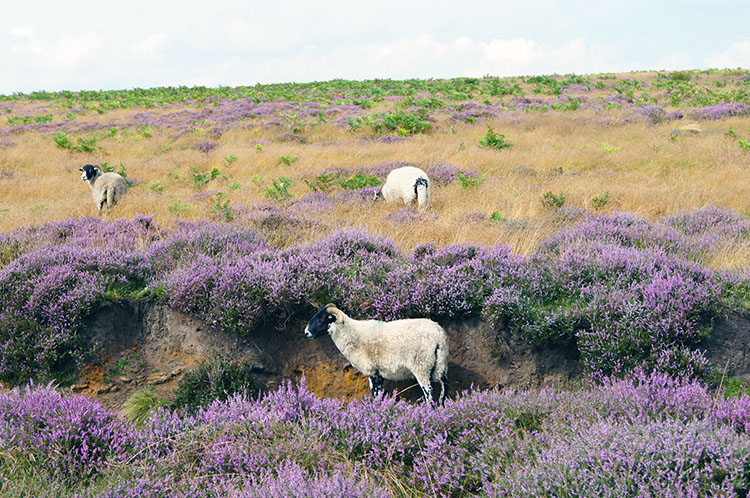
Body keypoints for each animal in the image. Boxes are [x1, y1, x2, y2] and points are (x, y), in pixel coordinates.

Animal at [304, 304, 450, 404]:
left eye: (321, 319)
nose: (306, 333)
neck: (353, 334)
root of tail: (438, 337)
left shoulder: (371, 371)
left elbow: (375, 394)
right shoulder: (379, 373)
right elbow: (379, 395)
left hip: (421, 366)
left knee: (429, 393)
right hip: (440, 365)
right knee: (445, 386)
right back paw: (442, 407)